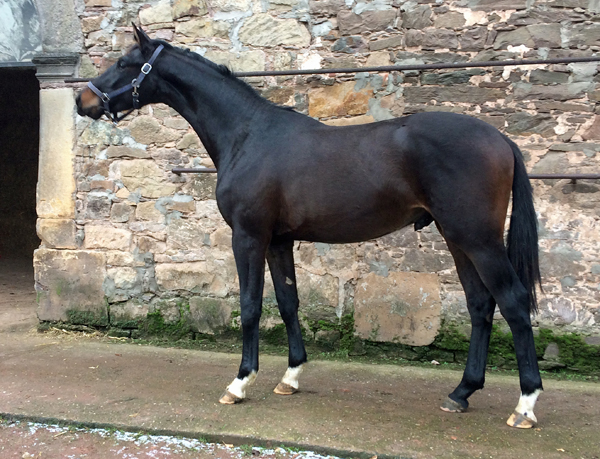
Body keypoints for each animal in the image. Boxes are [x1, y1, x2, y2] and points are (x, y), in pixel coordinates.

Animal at [75, 24, 544, 428]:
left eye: (123, 62)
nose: (83, 100)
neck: (248, 135)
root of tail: (501, 140)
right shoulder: (279, 241)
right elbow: (288, 303)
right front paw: (291, 377)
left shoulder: (248, 237)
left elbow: (250, 306)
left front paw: (240, 382)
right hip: (457, 239)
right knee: (481, 305)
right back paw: (462, 392)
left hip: (478, 240)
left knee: (514, 302)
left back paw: (524, 405)